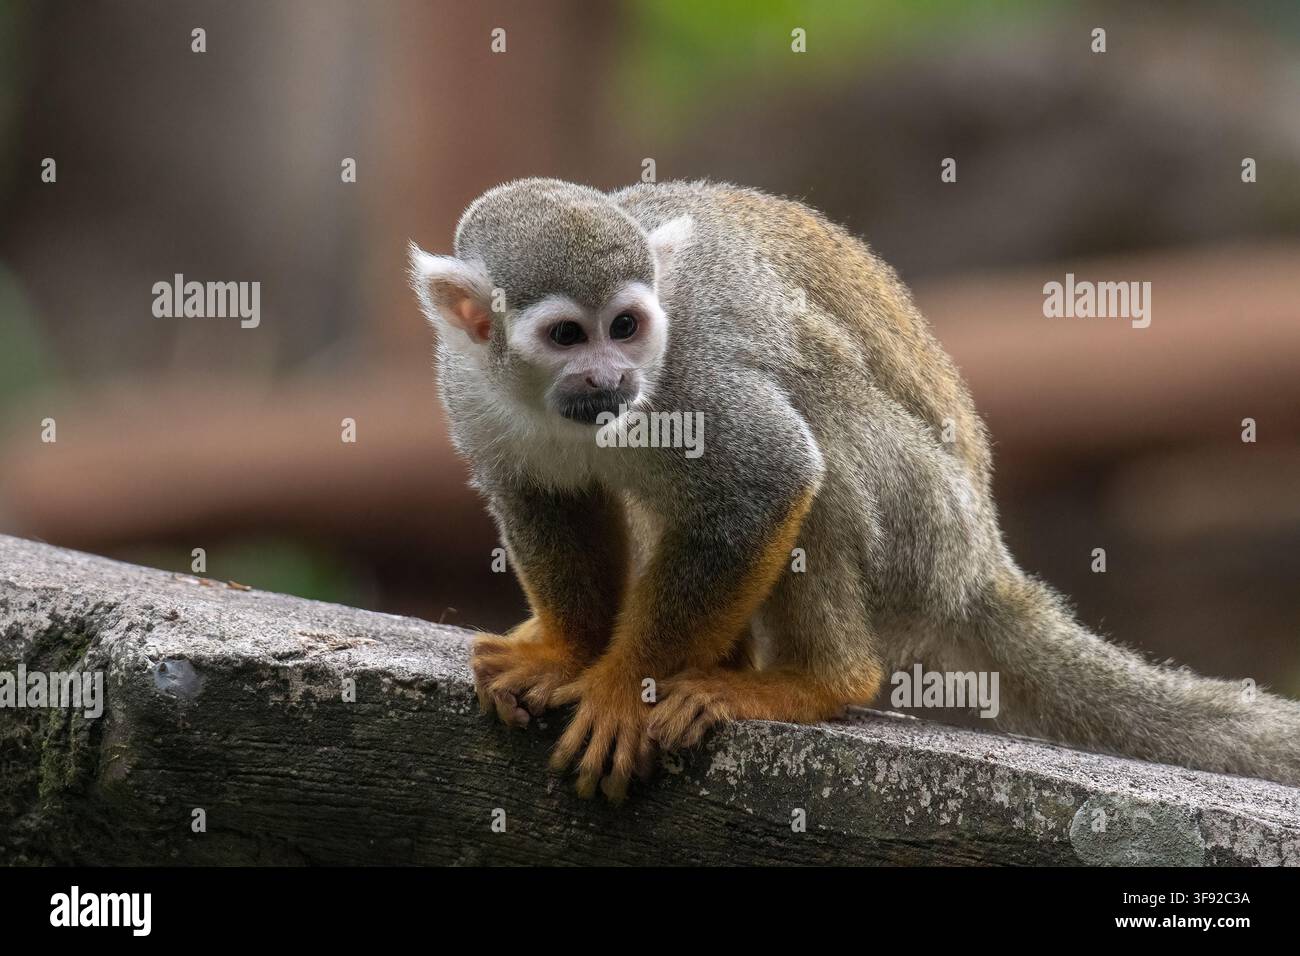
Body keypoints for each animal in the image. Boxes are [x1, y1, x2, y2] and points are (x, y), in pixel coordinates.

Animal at [409, 177, 1300, 802]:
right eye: (567, 336)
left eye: (626, 327)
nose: (612, 379)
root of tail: (979, 559)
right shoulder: (464, 383)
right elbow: (540, 495)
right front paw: (569, 652)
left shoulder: (689, 375)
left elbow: (769, 478)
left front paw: (626, 689)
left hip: (923, 531)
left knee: (825, 442)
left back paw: (817, 684)